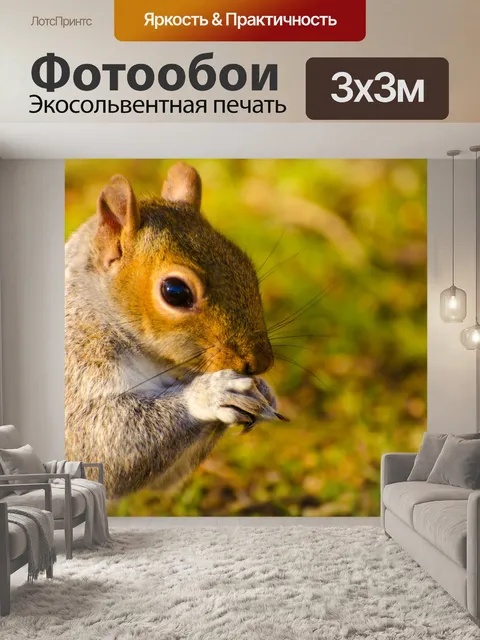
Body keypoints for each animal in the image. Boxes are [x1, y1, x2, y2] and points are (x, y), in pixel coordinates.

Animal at [65, 162, 284, 498]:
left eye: (246, 266)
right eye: (175, 292)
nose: (260, 362)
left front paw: (264, 391)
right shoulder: (77, 373)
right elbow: (102, 447)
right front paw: (212, 394)